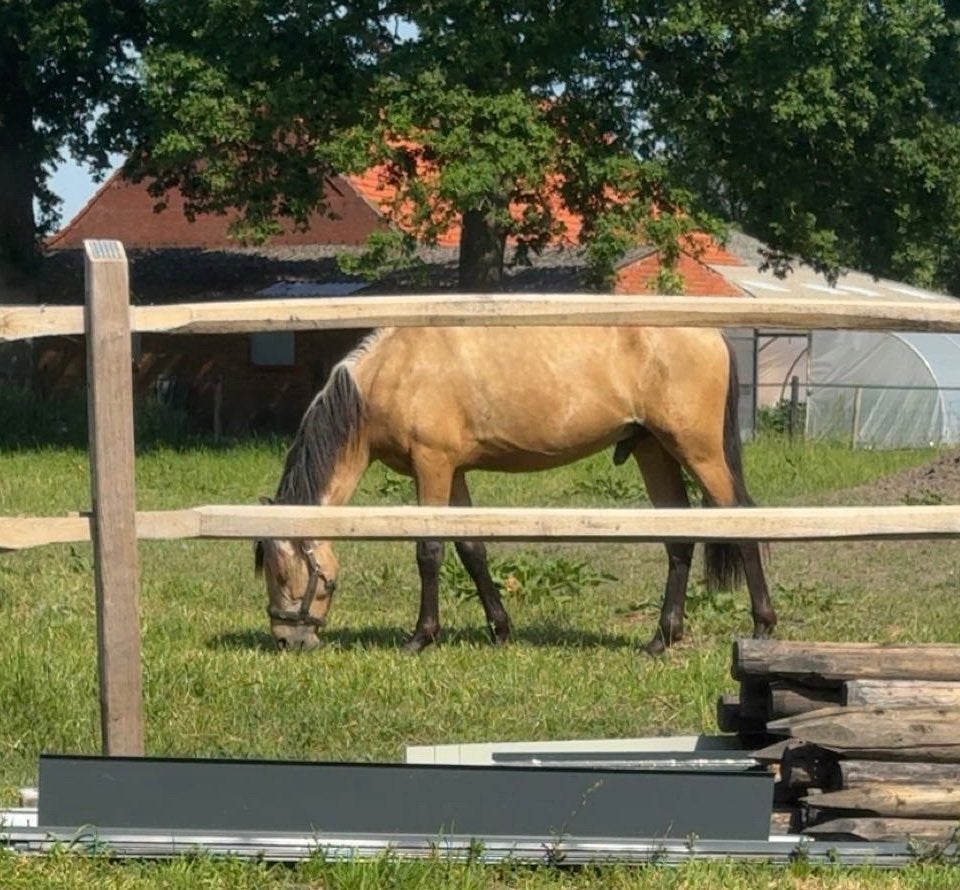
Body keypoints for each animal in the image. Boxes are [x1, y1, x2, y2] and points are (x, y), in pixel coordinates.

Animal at [255, 324, 776, 654]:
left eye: (281, 572)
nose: (287, 640)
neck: (395, 372)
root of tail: (713, 336)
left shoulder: (433, 465)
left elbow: (429, 552)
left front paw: (421, 637)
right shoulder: (455, 471)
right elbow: (472, 551)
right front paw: (500, 630)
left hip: (698, 451)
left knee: (741, 523)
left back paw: (763, 626)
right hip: (653, 451)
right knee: (679, 540)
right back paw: (660, 639)